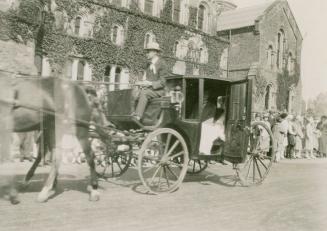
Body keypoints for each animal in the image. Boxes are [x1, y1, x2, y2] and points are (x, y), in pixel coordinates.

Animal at [0, 75, 100, 203]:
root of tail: (80, 88)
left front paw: (12, 194)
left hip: (80, 129)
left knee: (89, 155)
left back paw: (94, 190)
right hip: (52, 128)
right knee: (55, 156)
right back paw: (46, 189)